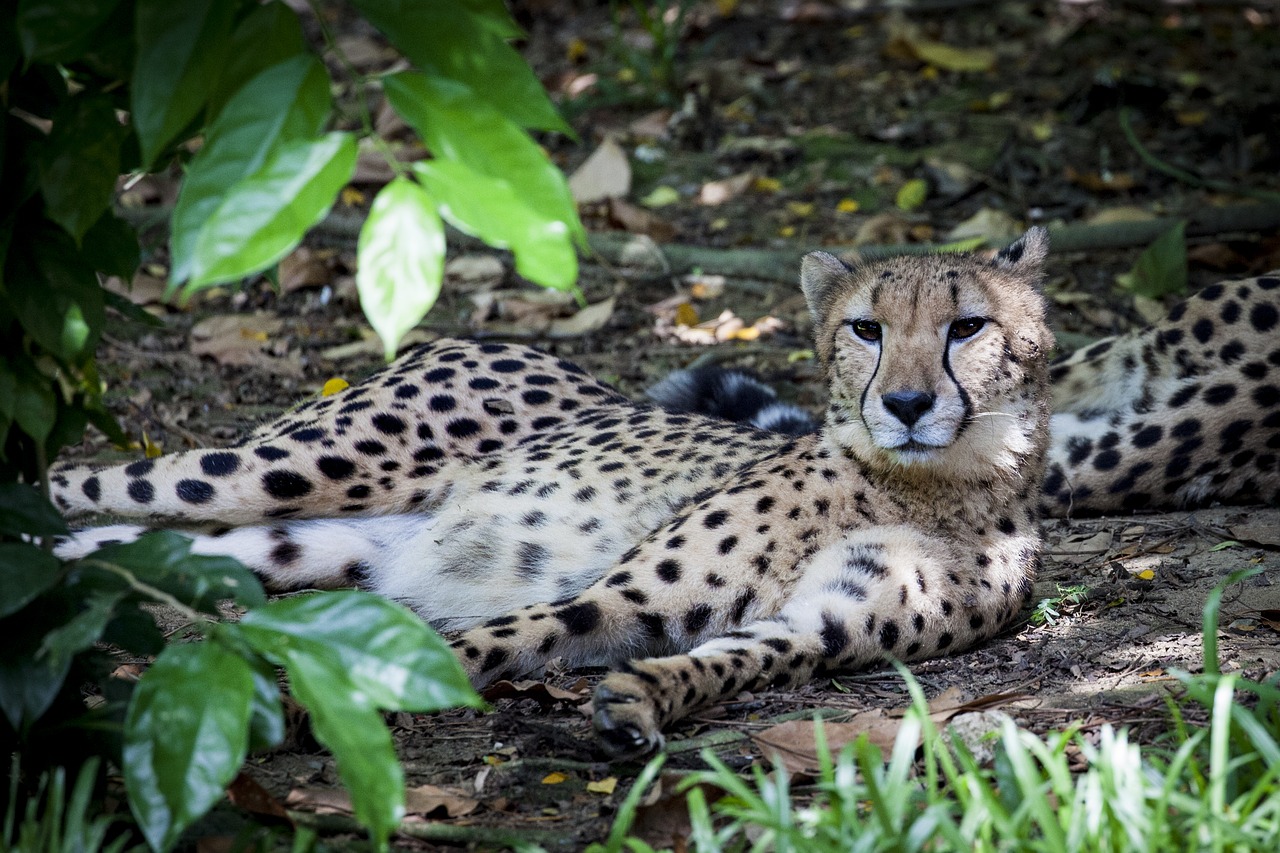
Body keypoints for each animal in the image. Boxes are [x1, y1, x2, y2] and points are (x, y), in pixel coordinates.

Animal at [45, 227, 1274, 753]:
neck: (925, 486)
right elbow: (486, 638)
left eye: (967, 325)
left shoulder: (816, 629)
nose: (909, 401)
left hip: (297, 545)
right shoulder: (624, 592)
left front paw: (639, 700)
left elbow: (729, 659)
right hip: (284, 464)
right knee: (72, 479)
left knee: (118, 545)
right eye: (866, 329)